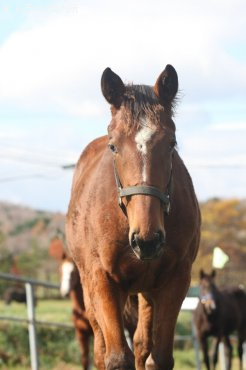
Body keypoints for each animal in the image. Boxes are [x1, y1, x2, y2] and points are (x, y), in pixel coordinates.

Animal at [66, 65, 201, 368]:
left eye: (172, 142)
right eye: (114, 146)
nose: (147, 240)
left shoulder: (176, 279)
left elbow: (158, 357)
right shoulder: (101, 280)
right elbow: (116, 357)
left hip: (147, 292)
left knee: (141, 344)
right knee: (101, 349)